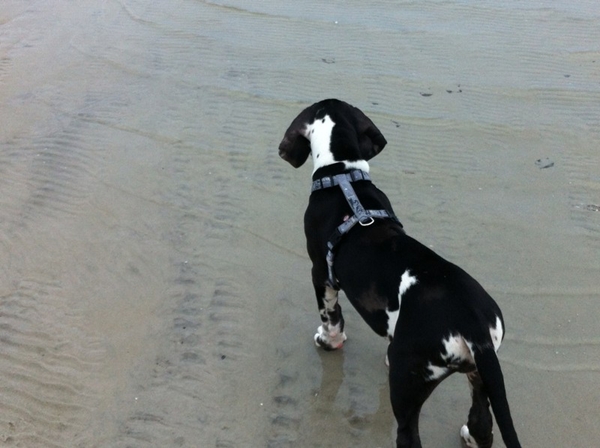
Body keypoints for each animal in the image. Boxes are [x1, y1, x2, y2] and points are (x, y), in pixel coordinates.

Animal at [278, 99, 521, 448]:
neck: (342, 174)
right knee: (482, 424)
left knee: (409, 433)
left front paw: (328, 341)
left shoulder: (321, 273)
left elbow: (331, 316)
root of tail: (472, 324)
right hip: (479, 377)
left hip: (408, 381)